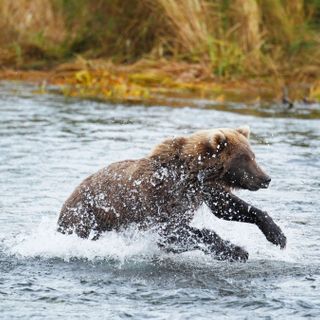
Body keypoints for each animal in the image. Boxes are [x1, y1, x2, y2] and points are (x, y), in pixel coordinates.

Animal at [57, 126, 284, 262]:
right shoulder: (161, 196)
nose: (266, 178)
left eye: (253, 155)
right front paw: (236, 250)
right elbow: (171, 231)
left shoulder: (205, 191)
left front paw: (277, 235)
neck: (192, 175)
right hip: (87, 217)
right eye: (244, 158)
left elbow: (228, 207)